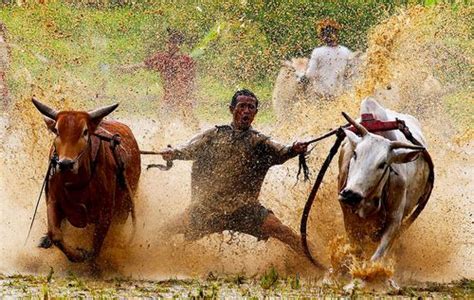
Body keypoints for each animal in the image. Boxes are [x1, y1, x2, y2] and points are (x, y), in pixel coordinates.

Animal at [32, 99, 141, 262]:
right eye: (57, 130)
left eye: (85, 132)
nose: (65, 163)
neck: (75, 184)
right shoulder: (52, 201)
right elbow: (55, 235)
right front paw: (77, 255)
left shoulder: (106, 214)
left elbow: (95, 248)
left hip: (124, 210)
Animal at [336, 98, 434, 260]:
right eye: (355, 154)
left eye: (383, 164)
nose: (351, 194)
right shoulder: (348, 217)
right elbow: (357, 249)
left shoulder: (395, 221)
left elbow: (376, 257)